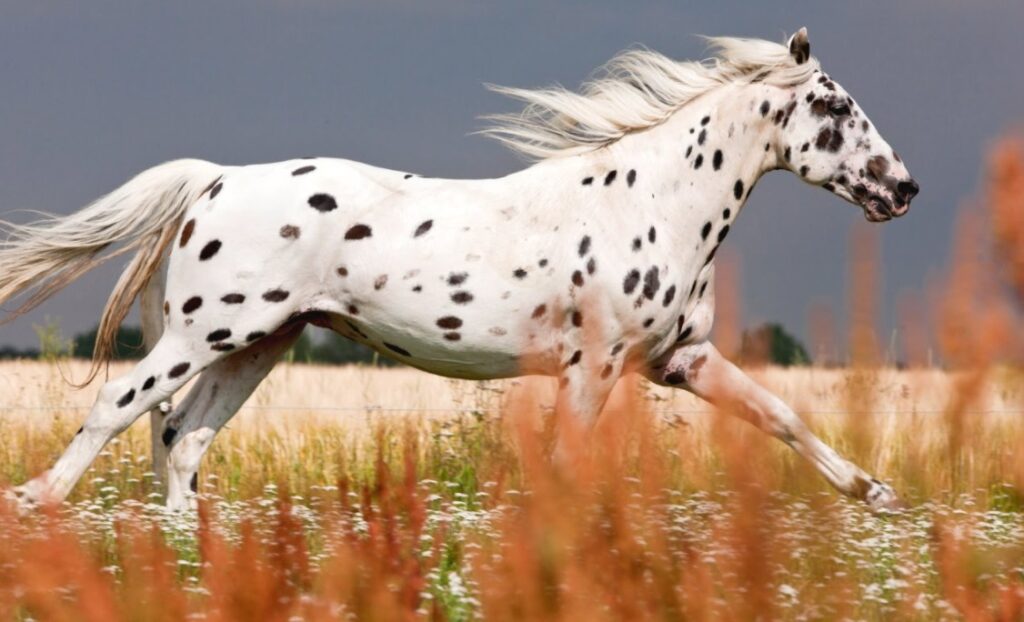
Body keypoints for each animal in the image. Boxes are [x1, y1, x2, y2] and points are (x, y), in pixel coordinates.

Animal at [0, 28, 919, 512]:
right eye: (834, 107)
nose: (902, 188)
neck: (651, 201)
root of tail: (215, 179)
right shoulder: (594, 369)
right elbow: (565, 467)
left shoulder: (681, 361)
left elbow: (782, 416)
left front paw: (874, 492)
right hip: (207, 334)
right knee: (120, 410)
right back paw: (39, 501)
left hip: (261, 343)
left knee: (183, 440)